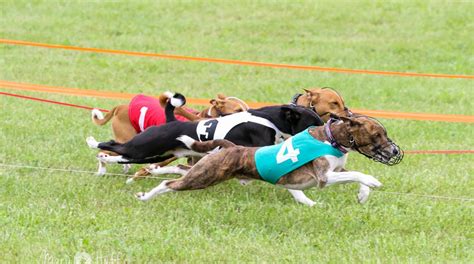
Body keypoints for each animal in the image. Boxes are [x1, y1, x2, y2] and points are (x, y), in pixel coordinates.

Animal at [134, 116, 404, 206]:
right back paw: (145, 196)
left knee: (178, 171)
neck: (332, 139)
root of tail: (232, 147)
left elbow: (355, 177)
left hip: (206, 171)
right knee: (170, 185)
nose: (394, 152)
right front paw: (373, 181)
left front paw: (363, 195)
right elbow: (357, 175)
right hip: (205, 176)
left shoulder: (337, 169)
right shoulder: (324, 177)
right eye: (377, 135)